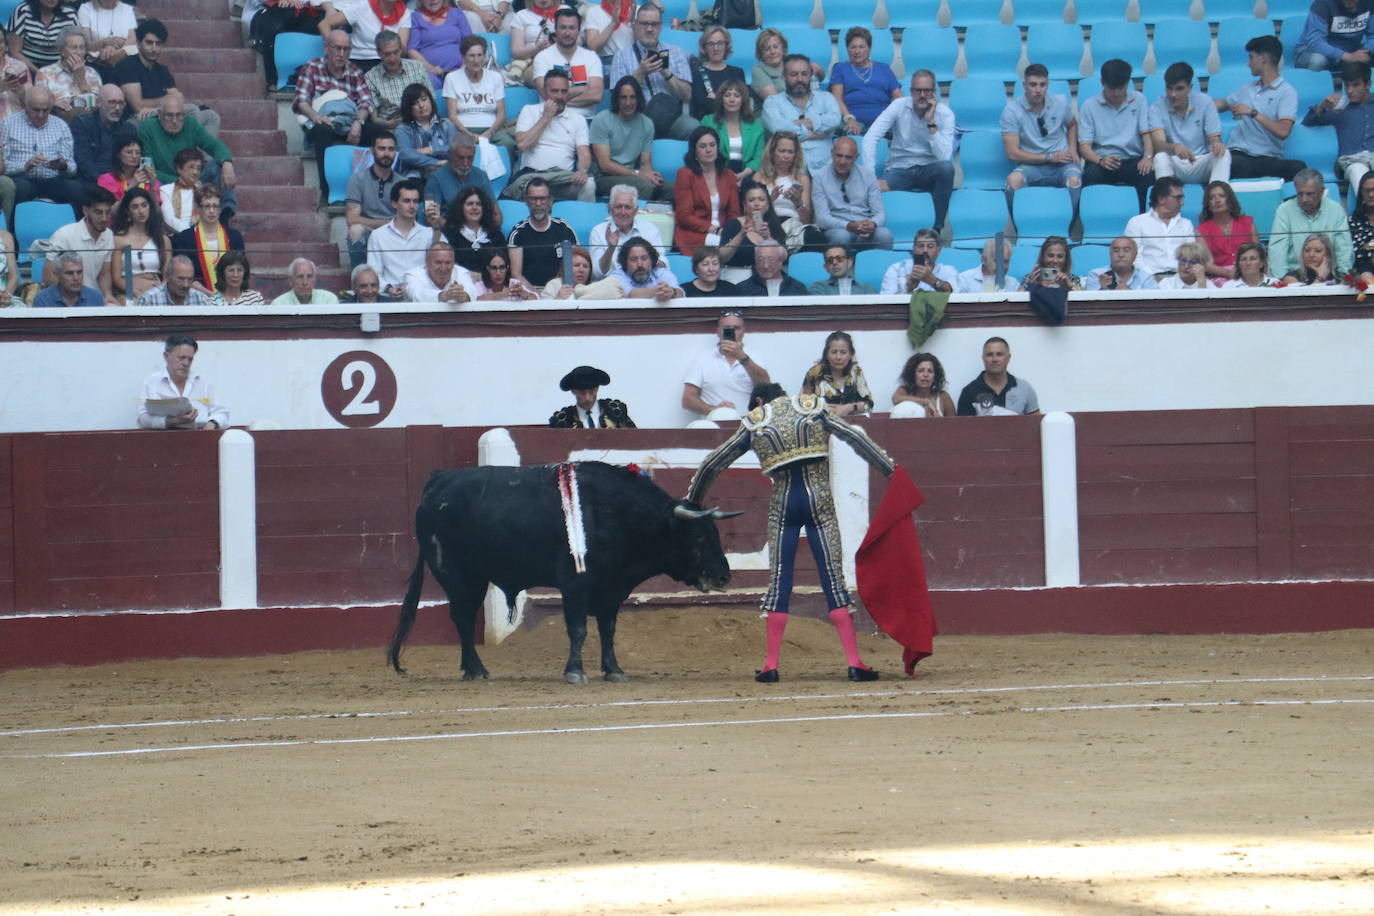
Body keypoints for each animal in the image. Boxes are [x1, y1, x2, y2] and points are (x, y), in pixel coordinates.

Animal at [384, 461, 741, 683]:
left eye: (716, 534)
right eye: (697, 536)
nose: (723, 576)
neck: (619, 514)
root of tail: (437, 483)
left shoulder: (612, 588)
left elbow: (608, 630)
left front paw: (613, 670)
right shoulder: (574, 584)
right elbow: (578, 629)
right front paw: (575, 673)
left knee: (463, 618)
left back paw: (470, 669)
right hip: (457, 574)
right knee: (462, 617)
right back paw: (477, 670)